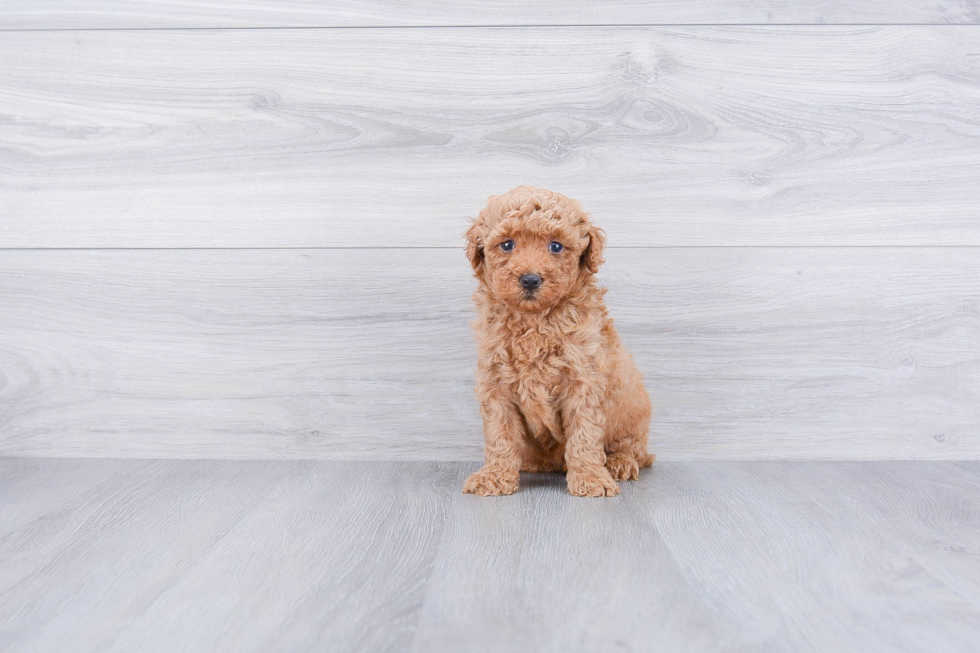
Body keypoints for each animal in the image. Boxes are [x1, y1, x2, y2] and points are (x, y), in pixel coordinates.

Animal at [464, 183, 656, 494]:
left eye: (556, 246)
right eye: (507, 244)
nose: (530, 279)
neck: (534, 320)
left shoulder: (584, 379)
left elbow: (584, 434)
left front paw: (590, 478)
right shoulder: (495, 383)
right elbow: (499, 433)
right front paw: (494, 476)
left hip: (633, 411)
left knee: (634, 448)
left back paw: (620, 463)